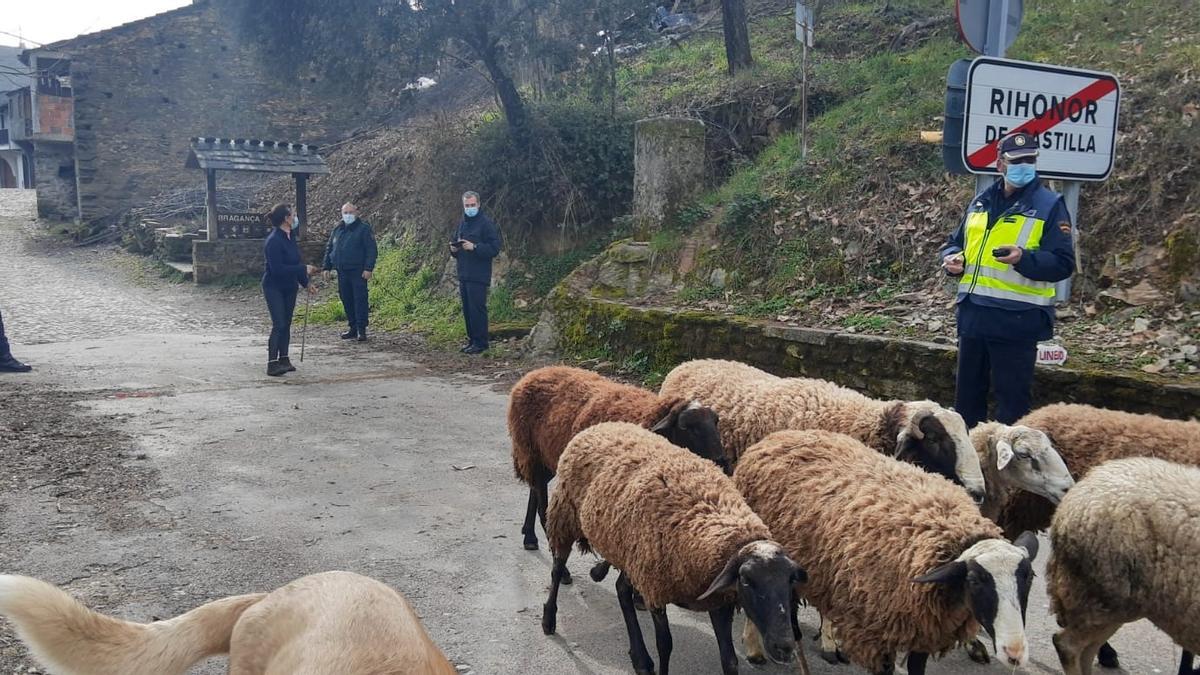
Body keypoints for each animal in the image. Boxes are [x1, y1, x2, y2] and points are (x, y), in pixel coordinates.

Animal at [506, 365, 720, 554]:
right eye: (686, 427)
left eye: (716, 422)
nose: (722, 460)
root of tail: (533, 374)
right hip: (531, 452)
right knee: (540, 498)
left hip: (545, 458)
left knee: (535, 488)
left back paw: (529, 535)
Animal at [542, 420, 806, 672]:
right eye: (747, 580)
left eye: (790, 580)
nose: (784, 646)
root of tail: (601, 425)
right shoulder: (656, 591)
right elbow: (665, 645)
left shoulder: (718, 601)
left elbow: (729, 660)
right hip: (565, 515)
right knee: (557, 568)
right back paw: (548, 620)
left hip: (632, 553)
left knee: (622, 590)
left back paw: (640, 659)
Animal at [734, 429, 1036, 672]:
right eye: (974, 580)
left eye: (1028, 577)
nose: (1015, 653)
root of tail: (780, 436)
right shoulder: (876, 632)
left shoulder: (923, 629)